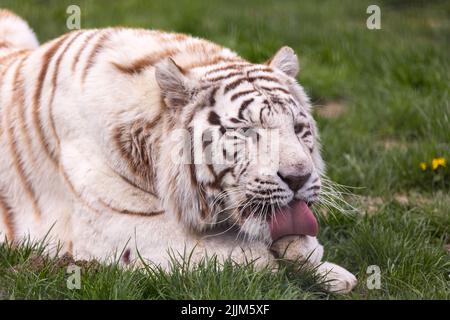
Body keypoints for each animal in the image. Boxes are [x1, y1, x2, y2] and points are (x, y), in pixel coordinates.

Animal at [0, 9, 356, 292]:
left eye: (298, 129)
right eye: (246, 132)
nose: (299, 178)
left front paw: (331, 271)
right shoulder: (119, 227)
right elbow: (244, 258)